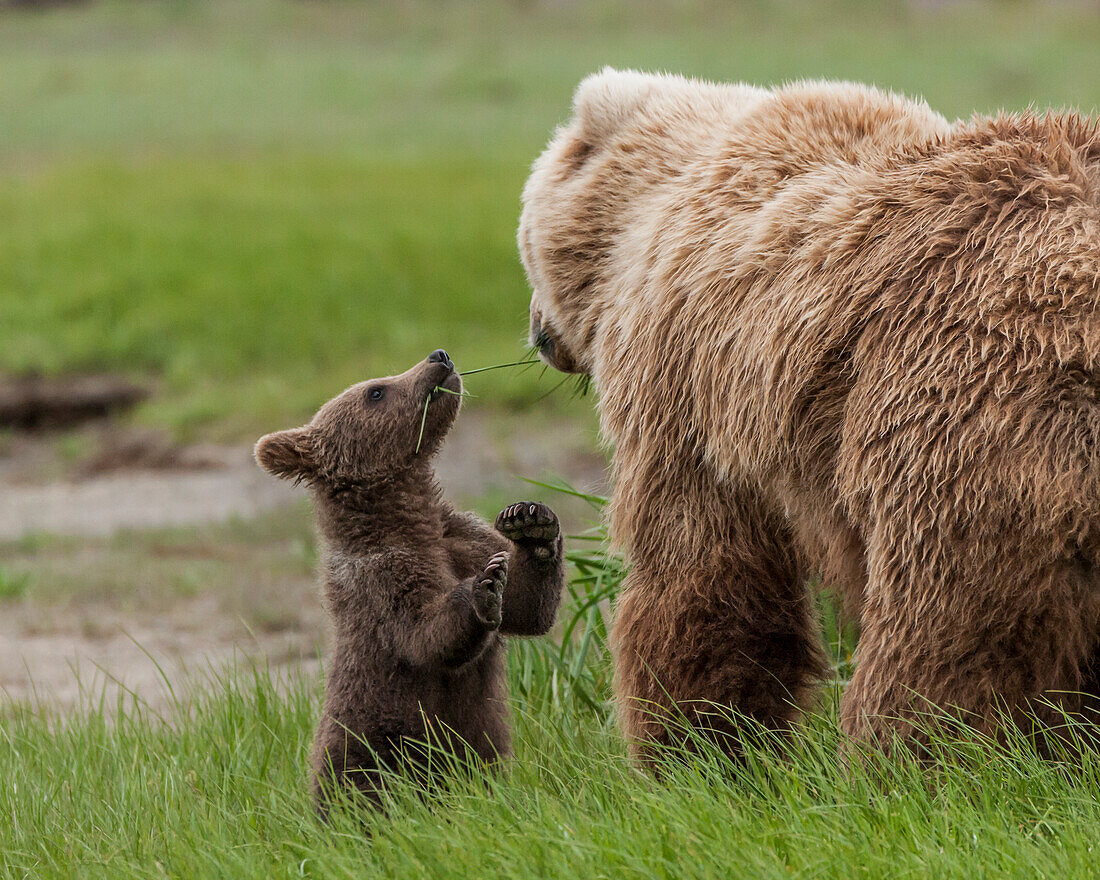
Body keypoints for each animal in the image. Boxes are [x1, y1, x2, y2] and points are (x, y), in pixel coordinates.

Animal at [519, 68, 1100, 761]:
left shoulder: (684, 381)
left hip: (965, 401)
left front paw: (697, 745)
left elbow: (699, 567)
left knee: (948, 627)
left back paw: (915, 758)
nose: (538, 333)